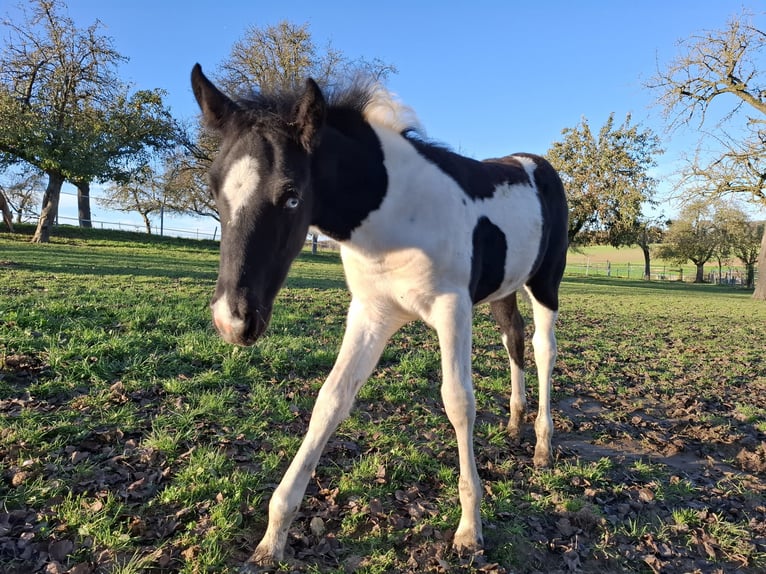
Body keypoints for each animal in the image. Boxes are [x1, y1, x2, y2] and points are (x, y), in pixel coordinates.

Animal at [192, 64, 568, 572]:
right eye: (214, 187)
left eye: (291, 195)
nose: (233, 320)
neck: (395, 212)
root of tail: (536, 163)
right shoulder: (371, 313)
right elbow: (330, 400)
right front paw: (274, 536)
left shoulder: (452, 308)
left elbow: (458, 402)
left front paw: (469, 530)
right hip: (501, 291)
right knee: (514, 338)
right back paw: (514, 422)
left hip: (545, 283)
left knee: (544, 349)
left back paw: (543, 446)